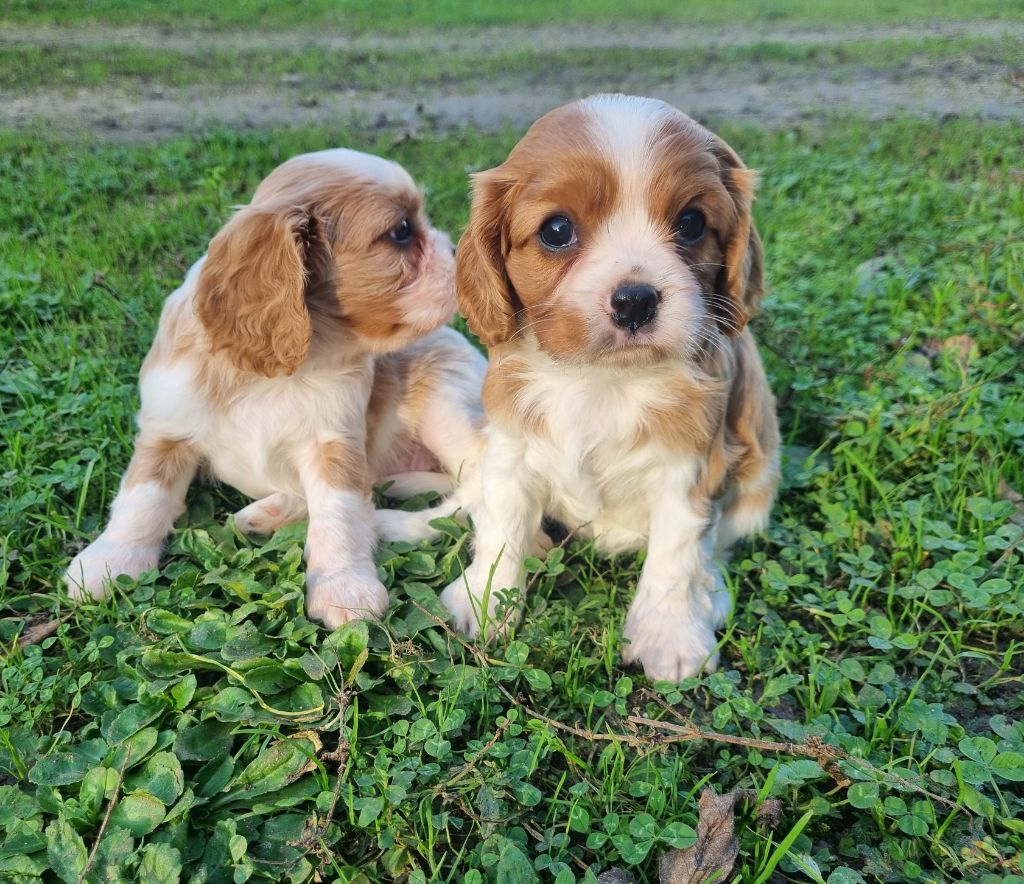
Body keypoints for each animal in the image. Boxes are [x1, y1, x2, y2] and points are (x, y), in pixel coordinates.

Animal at [65, 146, 487, 630]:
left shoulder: (335, 442)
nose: (459, 252)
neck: (286, 367)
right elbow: (143, 495)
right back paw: (267, 514)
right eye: (401, 232)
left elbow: (339, 512)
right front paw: (112, 559)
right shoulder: (167, 424)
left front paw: (345, 586)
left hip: (445, 400)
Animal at [444, 95, 778, 676]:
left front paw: (670, 636)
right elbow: (501, 527)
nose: (636, 300)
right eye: (557, 230)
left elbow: (675, 556)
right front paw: (482, 601)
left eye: (692, 223)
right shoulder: (511, 452)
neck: (603, 381)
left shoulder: (692, 469)